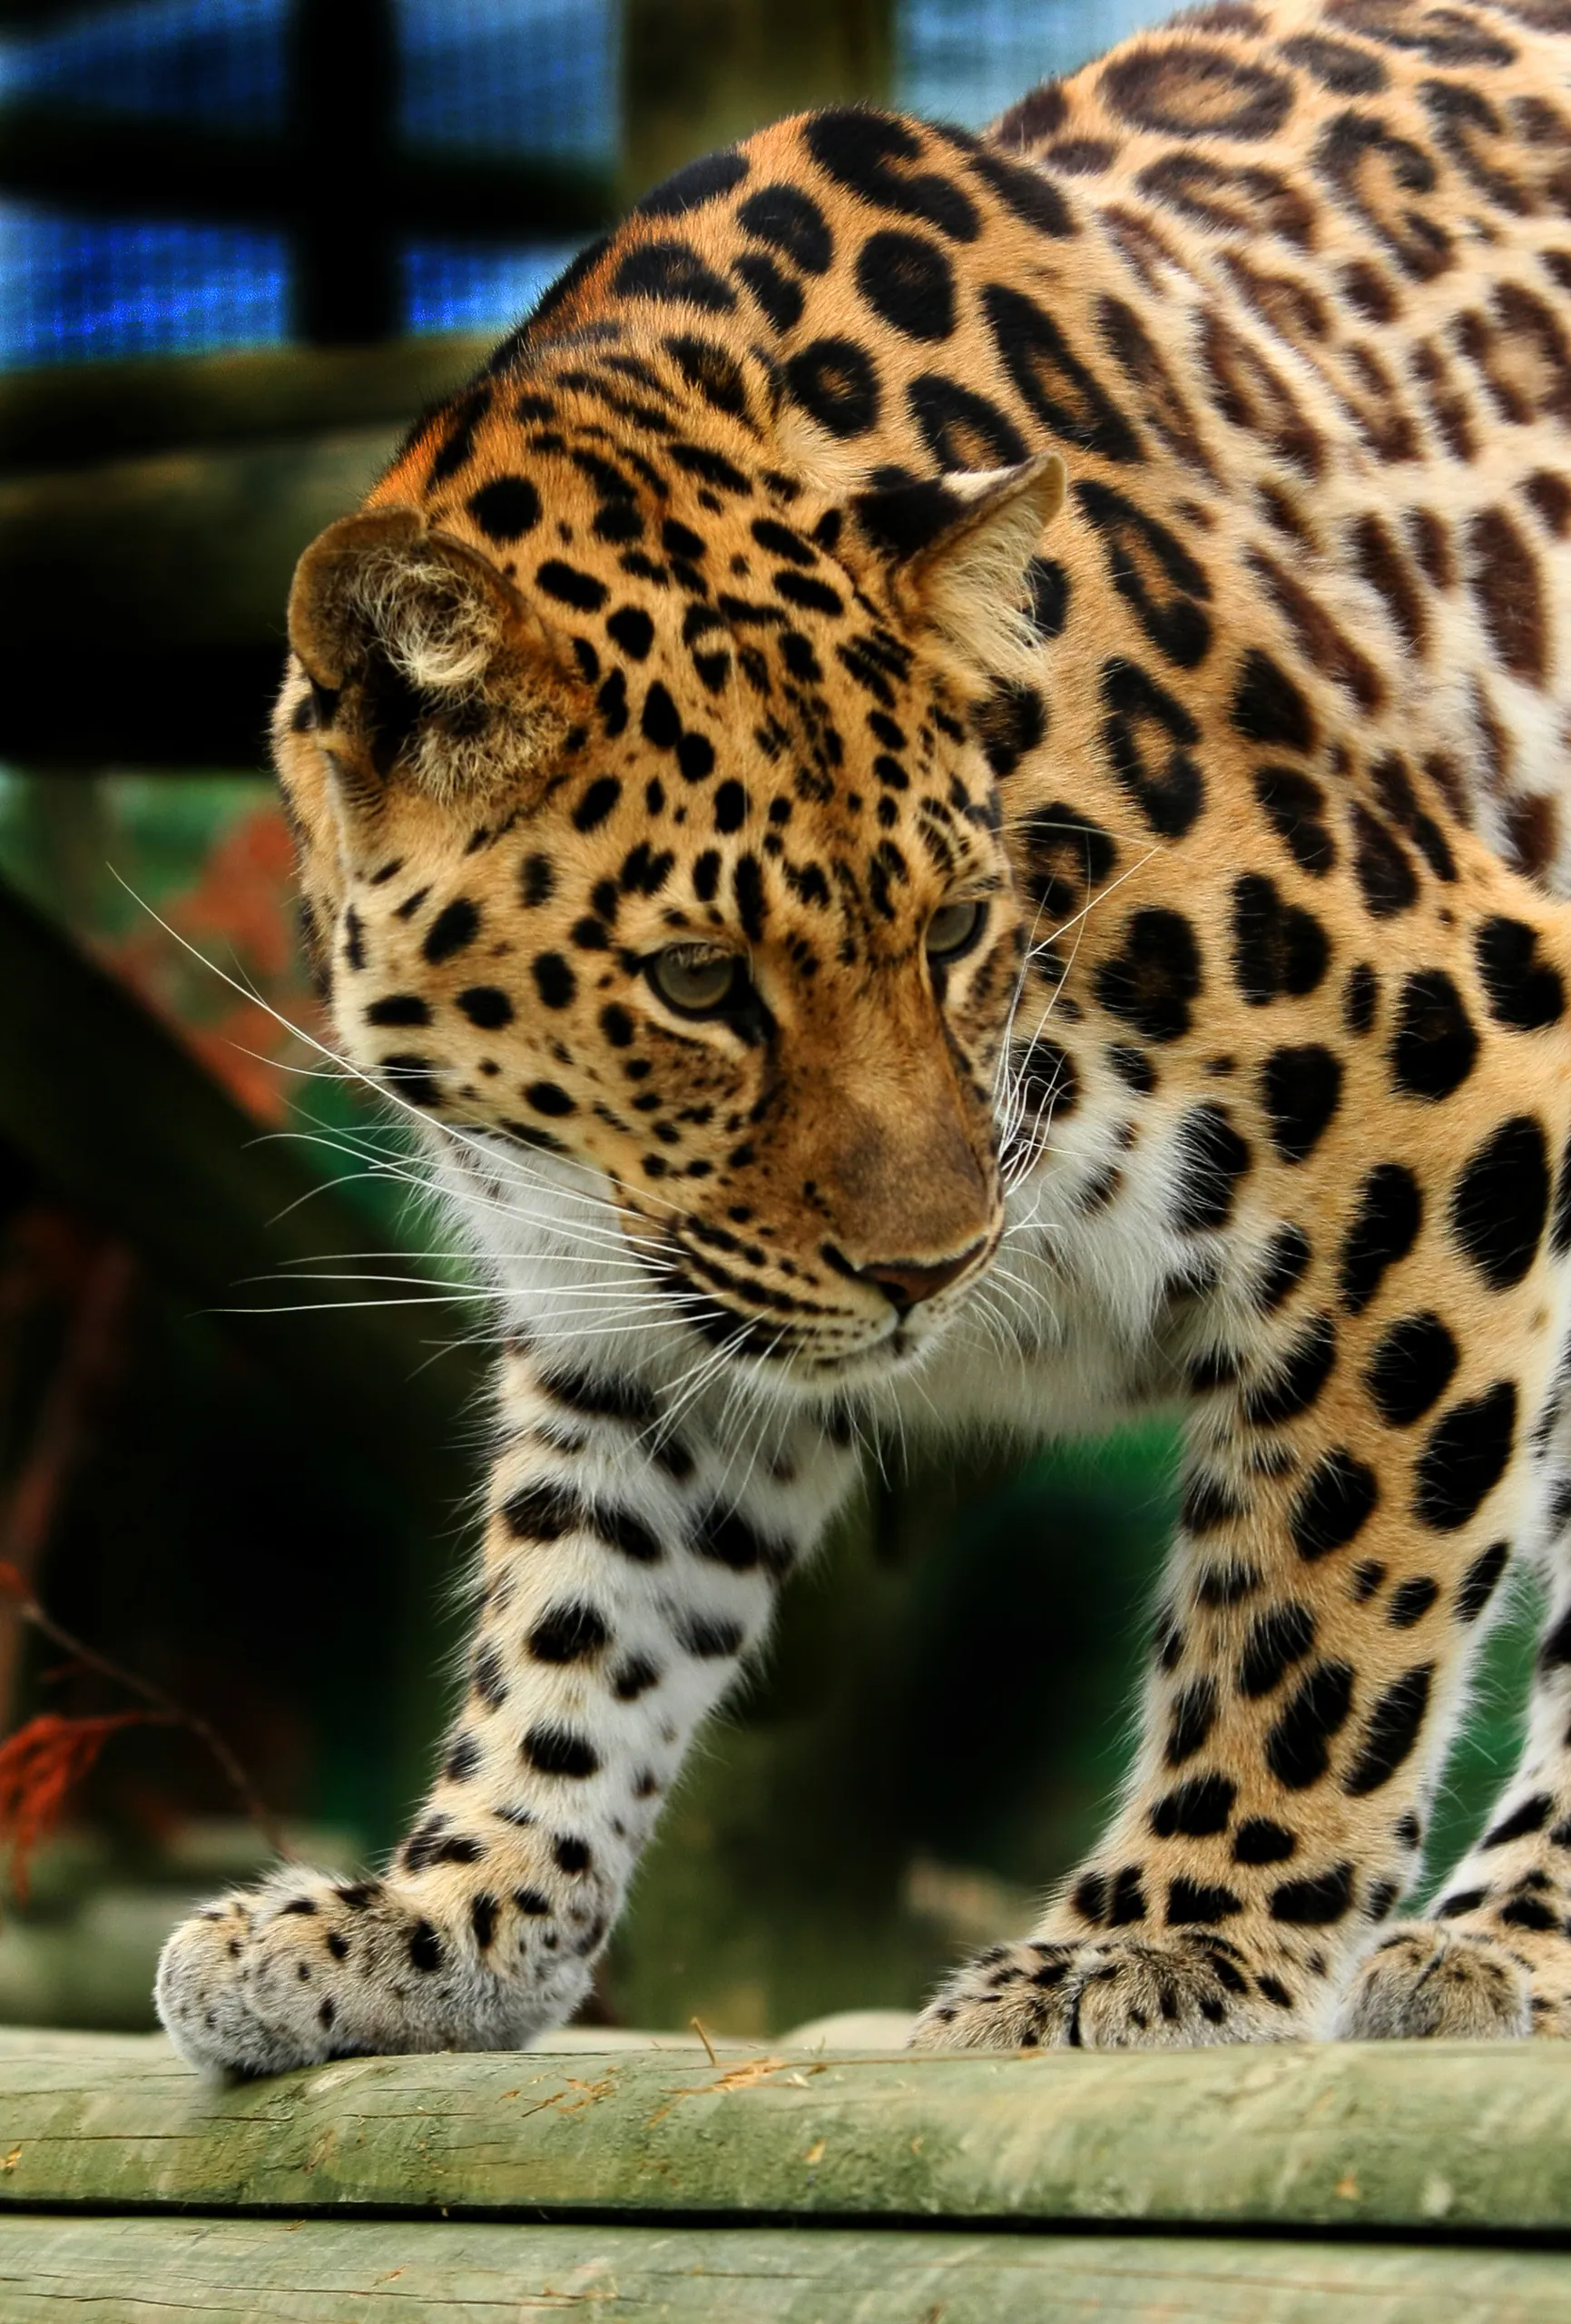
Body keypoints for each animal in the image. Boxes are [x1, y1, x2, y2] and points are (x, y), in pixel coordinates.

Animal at [156, 0, 1571, 2071]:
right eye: (695, 982)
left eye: (960, 928)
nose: (929, 1276)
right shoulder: (641, 1308)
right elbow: (582, 1611)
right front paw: (442, 1914)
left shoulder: (1459, 1078)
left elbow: (1322, 1597)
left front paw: (1166, 1935)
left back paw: (1508, 1929)